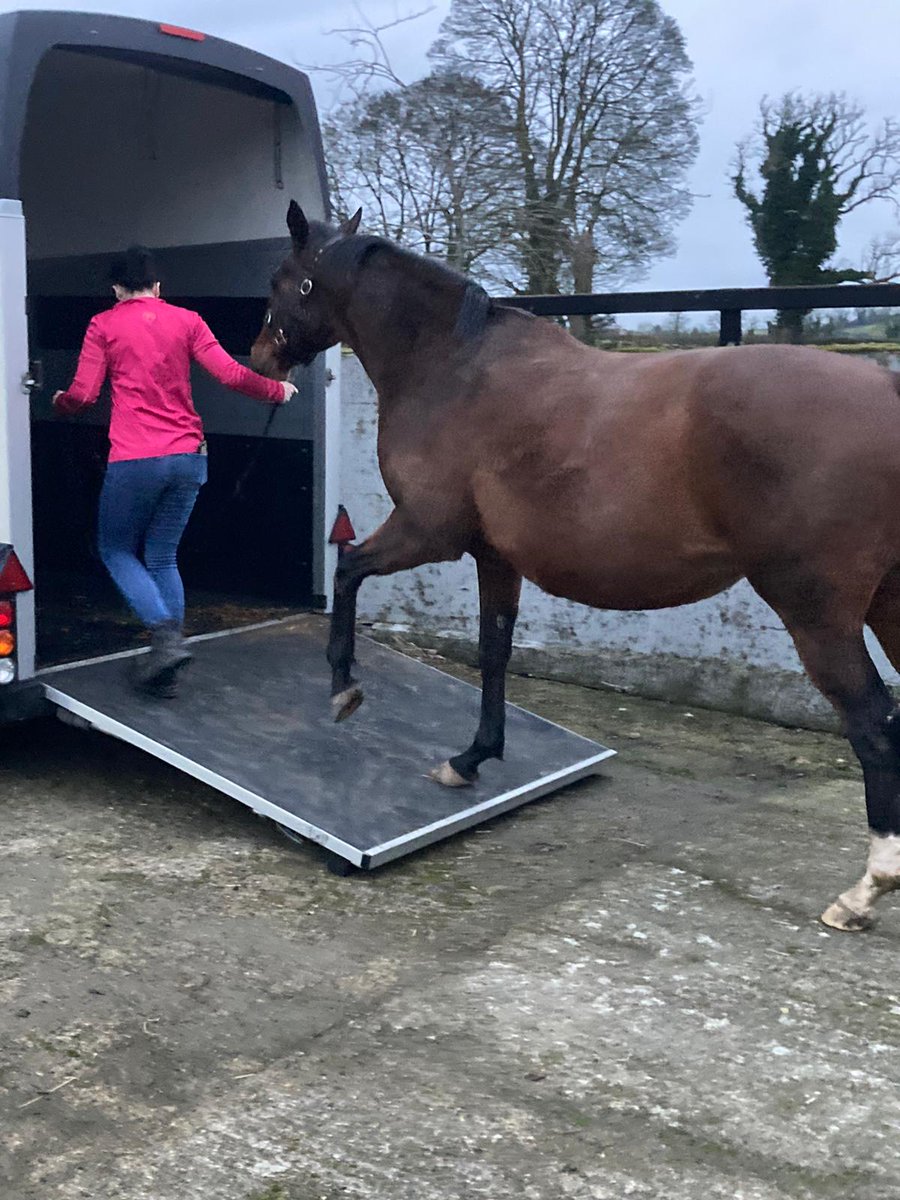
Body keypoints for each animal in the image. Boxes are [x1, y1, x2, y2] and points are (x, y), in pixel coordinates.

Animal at [252, 200, 900, 934]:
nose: (260, 356)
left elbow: (347, 572)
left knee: (873, 722)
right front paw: (472, 758)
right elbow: (493, 653)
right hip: (889, 603)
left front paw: (343, 688)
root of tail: (885, 391)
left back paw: (864, 892)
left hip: (818, 613)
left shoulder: (425, 533)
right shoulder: (493, 557)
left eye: (281, 280)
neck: (453, 368)